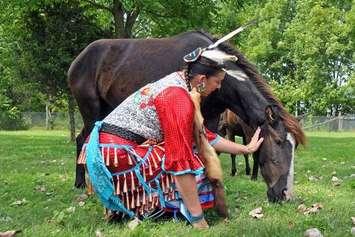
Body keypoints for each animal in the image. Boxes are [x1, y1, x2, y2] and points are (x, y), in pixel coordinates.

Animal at [69, 30, 306, 204]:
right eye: (278, 142)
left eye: (294, 146)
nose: (285, 194)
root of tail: (78, 60)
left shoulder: (211, 119)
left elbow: (212, 151)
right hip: (91, 111)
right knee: (87, 141)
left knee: (81, 139)